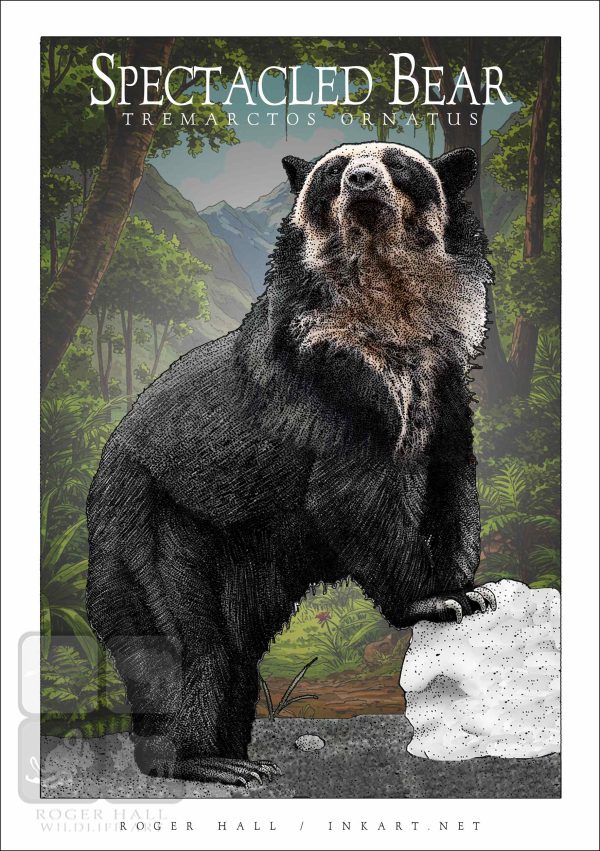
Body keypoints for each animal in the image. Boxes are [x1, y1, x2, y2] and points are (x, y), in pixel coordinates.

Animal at [86, 141, 497, 786]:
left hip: (244, 558)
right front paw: (431, 599)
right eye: (334, 171)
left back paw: (238, 756)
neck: (389, 317)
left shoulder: (443, 382)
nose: (361, 181)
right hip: (154, 522)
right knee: (182, 639)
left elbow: (451, 479)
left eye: (398, 164)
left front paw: (469, 589)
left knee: (230, 652)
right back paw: (198, 760)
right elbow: (352, 496)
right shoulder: (328, 385)